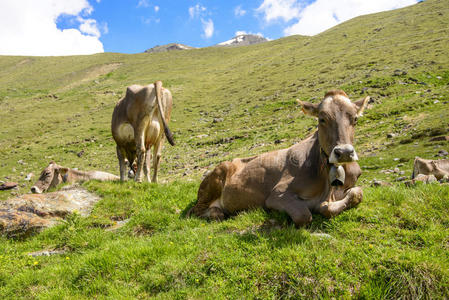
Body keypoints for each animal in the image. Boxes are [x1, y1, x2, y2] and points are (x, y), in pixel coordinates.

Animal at [187, 90, 370, 226]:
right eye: (322, 119)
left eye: (355, 118)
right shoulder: (277, 194)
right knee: (196, 211)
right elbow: (304, 215)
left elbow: (357, 193)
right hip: (217, 177)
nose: (344, 152)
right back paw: (216, 212)